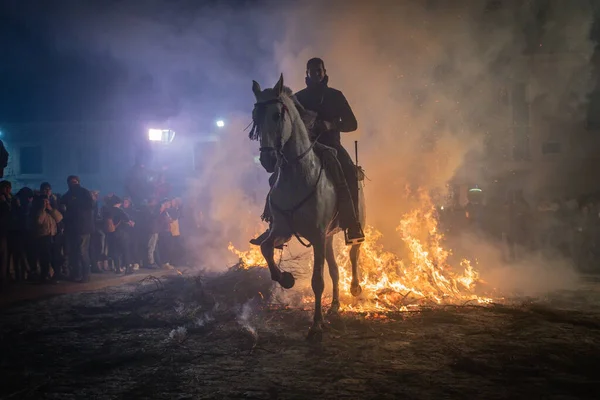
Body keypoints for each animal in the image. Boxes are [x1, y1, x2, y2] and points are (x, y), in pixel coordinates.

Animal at [250, 74, 366, 340]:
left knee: (354, 254)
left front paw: (316, 324)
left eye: (277, 115)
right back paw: (334, 306)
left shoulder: (317, 235)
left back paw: (355, 288)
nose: (268, 160)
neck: (298, 174)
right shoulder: (283, 230)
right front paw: (285, 279)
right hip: (329, 237)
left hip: (352, 226)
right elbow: (265, 249)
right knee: (334, 270)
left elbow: (317, 281)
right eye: (255, 117)